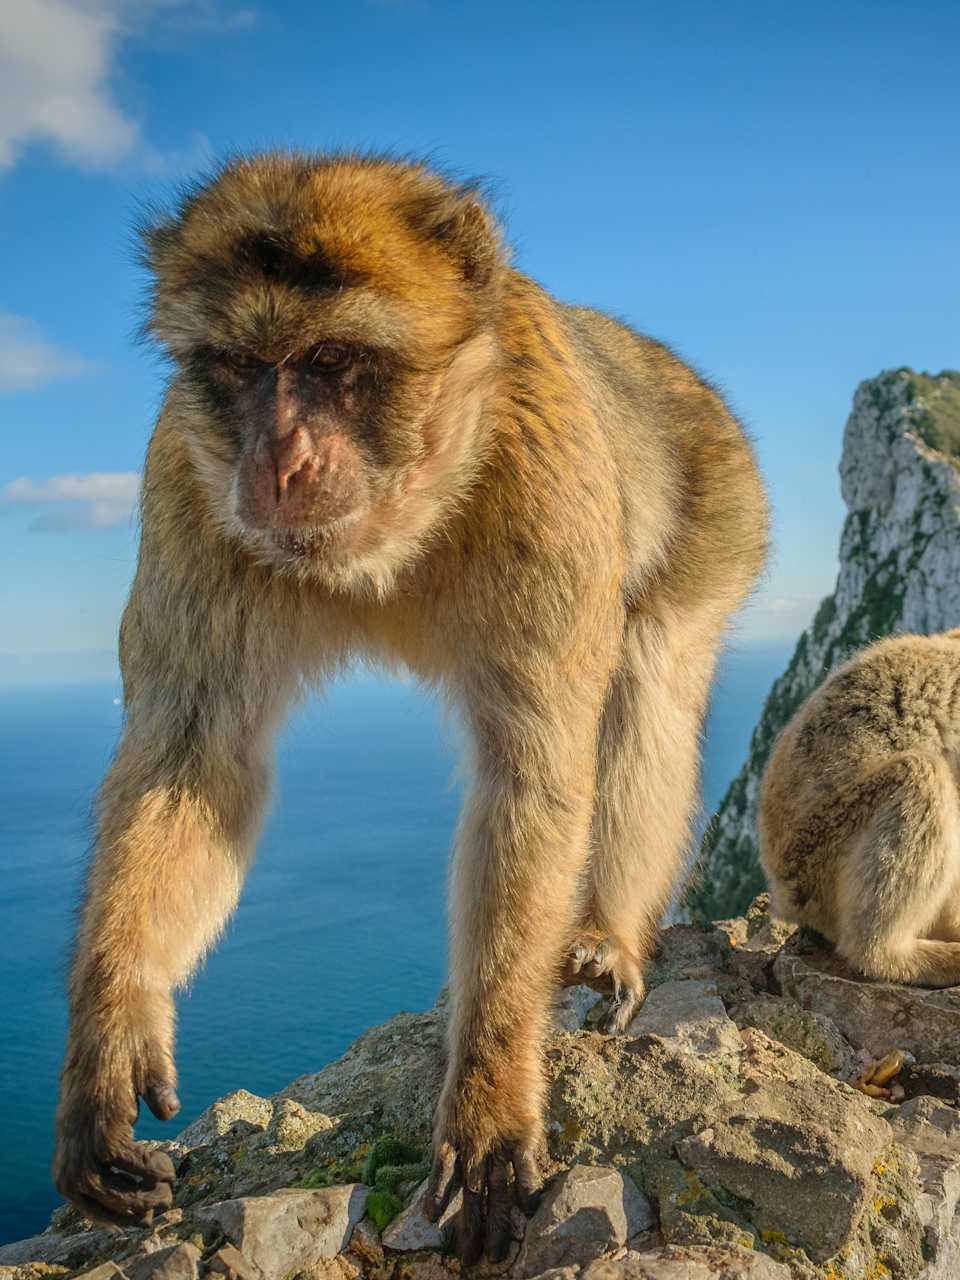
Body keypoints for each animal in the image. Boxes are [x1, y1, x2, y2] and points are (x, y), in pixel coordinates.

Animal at [52, 152, 768, 1262]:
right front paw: (111, 1037)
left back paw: (608, 930)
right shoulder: (187, 480)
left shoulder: (545, 479)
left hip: (722, 512)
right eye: (243, 368)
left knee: (647, 674)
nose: (277, 460)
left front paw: (489, 1099)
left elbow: (533, 774)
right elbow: (190, 759)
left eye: (334, 358)